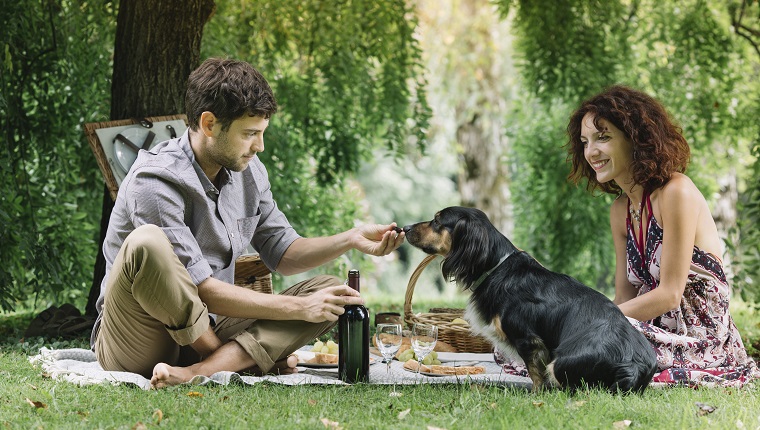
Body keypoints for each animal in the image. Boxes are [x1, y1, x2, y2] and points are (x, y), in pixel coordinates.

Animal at [404, 207, 660, 392]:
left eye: (437, 221)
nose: (405, 227)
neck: (498, 268)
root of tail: (633, 365)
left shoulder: (528, 340)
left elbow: (536, 373)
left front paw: (536, 395)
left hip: (559, 363)